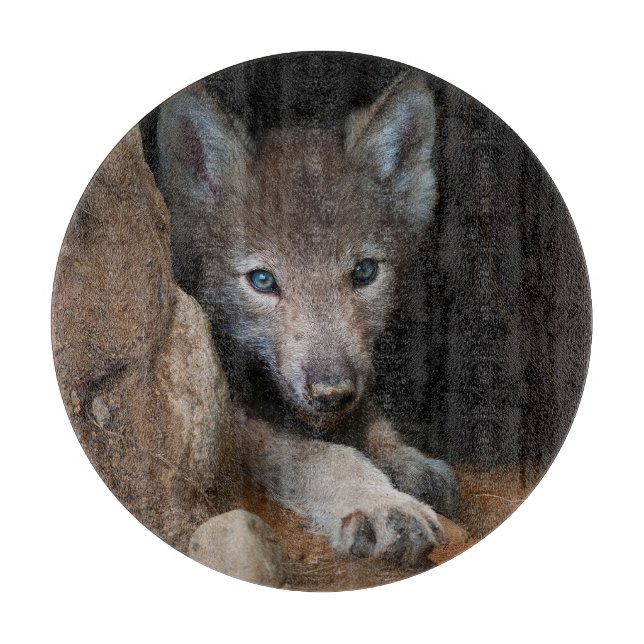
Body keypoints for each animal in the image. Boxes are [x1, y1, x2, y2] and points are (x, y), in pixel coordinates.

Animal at [156, 71, 457, 567]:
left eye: (364, 272)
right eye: (262, 280)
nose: (331, 392)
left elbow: (373, 419)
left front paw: (406, 459)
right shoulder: (237, 418)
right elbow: (322, 456)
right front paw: (382, 504)